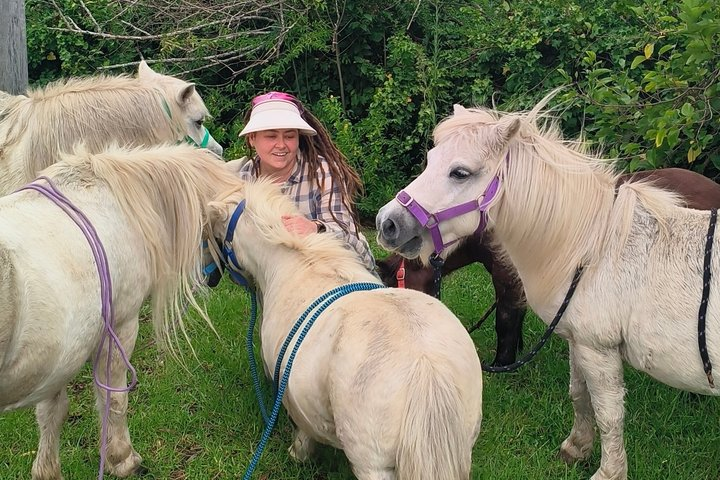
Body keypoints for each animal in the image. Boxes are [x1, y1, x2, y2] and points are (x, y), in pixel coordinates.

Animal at [0, 143, 241, 480]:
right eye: (219, 224)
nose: (214, 277)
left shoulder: (58, 357)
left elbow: (51, 413)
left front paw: (48, 470)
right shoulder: (121, 328)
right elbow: (114, 399)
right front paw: (122, 458)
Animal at [208, 178, 483, 480]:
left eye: (217, 231)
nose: (211, 276)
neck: (301, 265)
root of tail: (427, 367)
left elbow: (303, 432)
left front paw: (298, 455)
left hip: (373, 467)